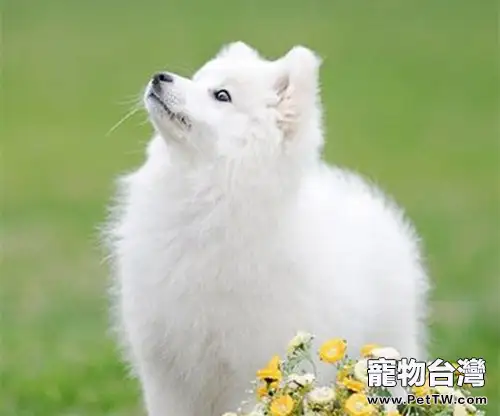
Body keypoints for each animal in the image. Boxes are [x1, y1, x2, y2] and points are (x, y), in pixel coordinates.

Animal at [105, 42, 430, 416]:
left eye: (222, 95)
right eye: (199, 79)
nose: (160, 77)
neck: (207, 204)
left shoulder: (255, 366)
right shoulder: (167, 372)